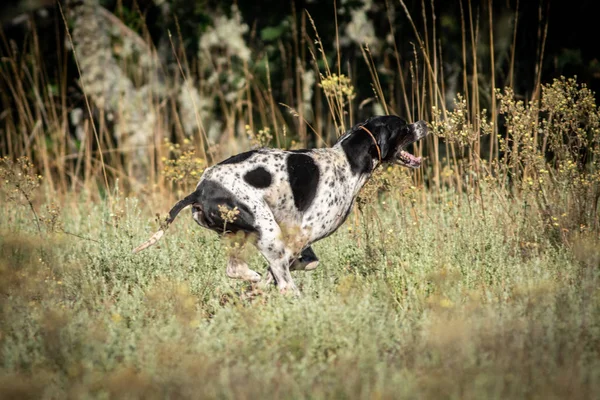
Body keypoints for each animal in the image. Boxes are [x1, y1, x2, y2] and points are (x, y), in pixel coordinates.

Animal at [134, 115, 428, 294]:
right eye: (404, 127)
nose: (423, 123)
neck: (347, 160)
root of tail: (199, 190)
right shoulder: (301, 235)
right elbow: (285, 267)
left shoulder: (297, 242)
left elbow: (305, 262)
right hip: (265, 229)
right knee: (286, 285)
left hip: (239, 234)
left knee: (236, 269)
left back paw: (253, 282)